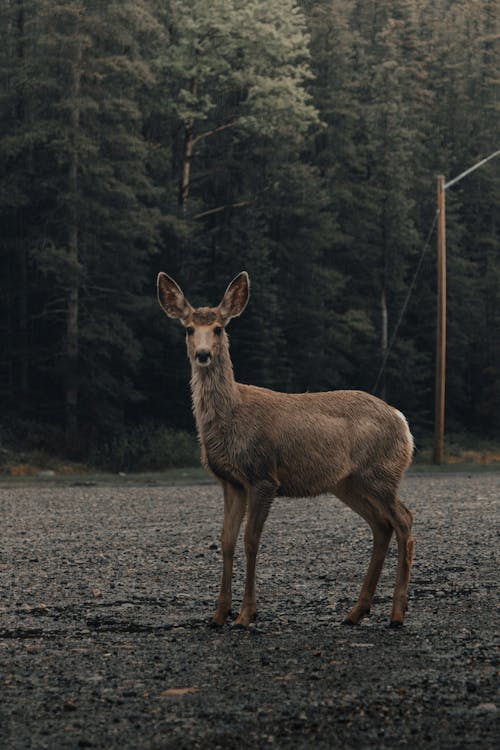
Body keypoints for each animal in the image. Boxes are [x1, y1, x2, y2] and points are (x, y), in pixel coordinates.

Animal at [159, 274, 414, 632]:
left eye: (220, 328)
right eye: (189, 329)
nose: (203, 354)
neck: (232, 416)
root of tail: (401, 420)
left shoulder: (263, 475)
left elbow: (251, 540)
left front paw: (245, 615)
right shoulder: (230, 482)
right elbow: (226, 541)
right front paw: (218, 615)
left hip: (380, 473)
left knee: (404, 519)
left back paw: (396, 614)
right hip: (347, 483)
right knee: (382, 525)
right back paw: (355, 612)